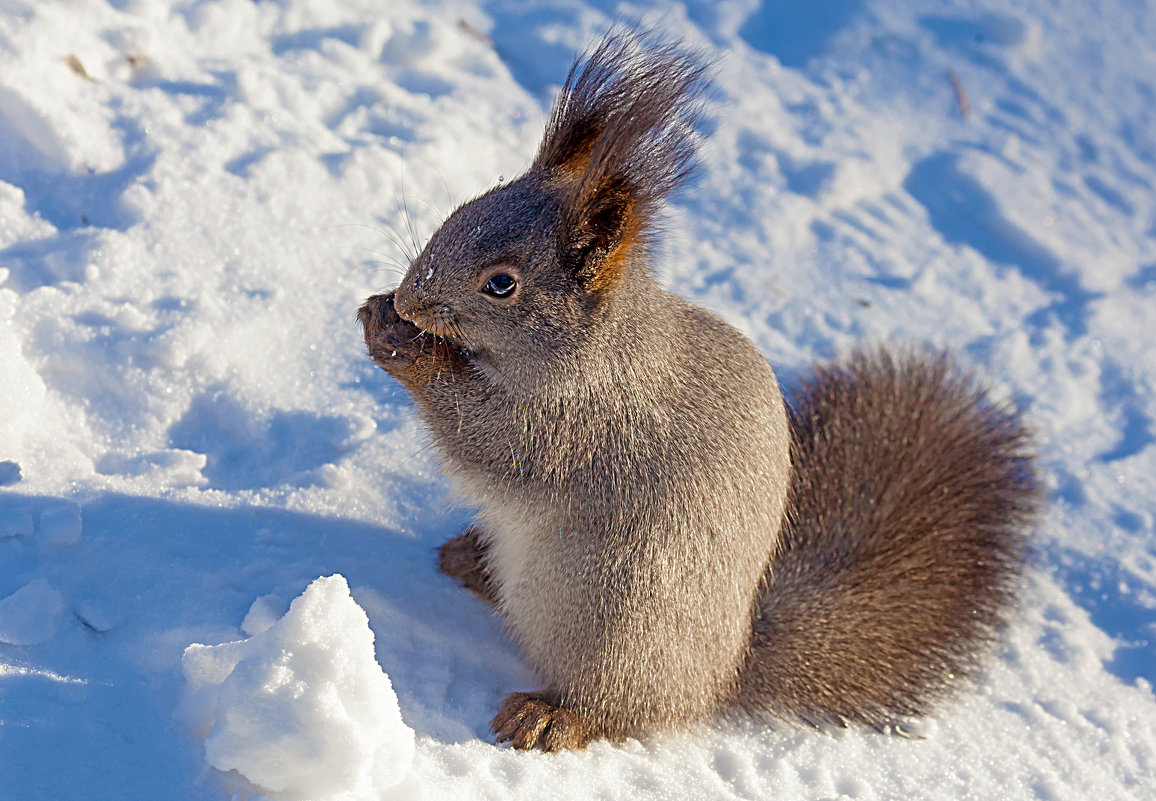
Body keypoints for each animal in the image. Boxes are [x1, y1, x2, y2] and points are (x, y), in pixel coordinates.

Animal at [356, 26, 1045, 748]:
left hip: (617, 615)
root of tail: (721, 671)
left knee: (619, 707)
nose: (408, 298)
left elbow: (490, 440)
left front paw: (406, 348)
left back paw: (550, 714)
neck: (602, 353)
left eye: (501, 283)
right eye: (463, 209)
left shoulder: (578, 429)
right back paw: (473, 560)